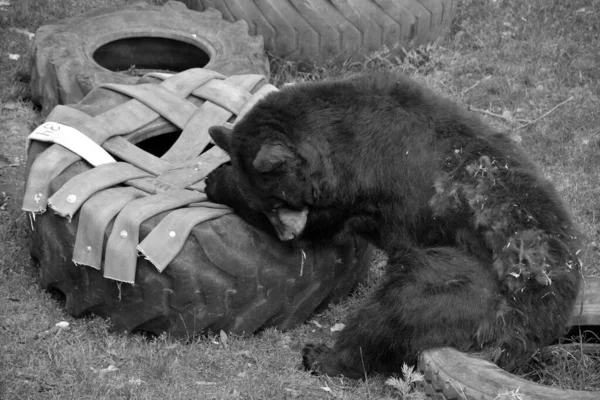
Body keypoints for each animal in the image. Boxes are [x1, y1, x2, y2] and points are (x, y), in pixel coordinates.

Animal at [205, 72, 580, 378]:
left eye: (277, 202)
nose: (286, 235)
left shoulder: (357, 184)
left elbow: (325, 227)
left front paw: (216, 181)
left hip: (469, 283)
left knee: (398, 309)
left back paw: (322, 356)